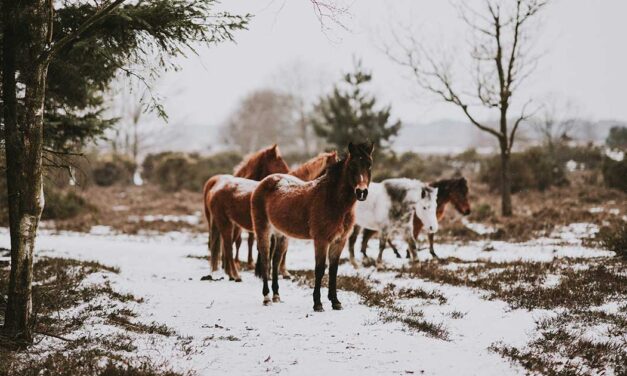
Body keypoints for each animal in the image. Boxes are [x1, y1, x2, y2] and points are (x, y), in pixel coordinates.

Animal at [201, 145, 290, 280]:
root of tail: (215, 188)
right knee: (228, 248)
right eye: (278, 162)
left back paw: (231, 274)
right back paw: (235, 275)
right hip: (226, 224)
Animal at [253, 142, 376, 310]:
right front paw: (318, 304)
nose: (362, 192)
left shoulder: (339, 241)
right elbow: (319, 269)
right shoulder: (321, 240)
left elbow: (333, 270)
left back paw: (276, 295)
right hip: (263, 230)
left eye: (369, 165)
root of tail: (265, 181)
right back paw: (266, 297)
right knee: (265, 261)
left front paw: (335, 301)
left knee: (275, 261)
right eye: (352, 165)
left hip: (281, 235)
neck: (332, 200)